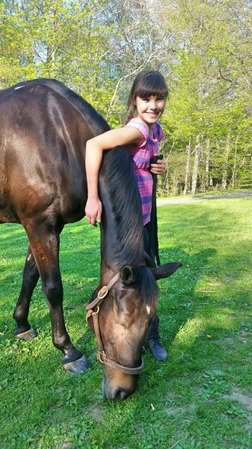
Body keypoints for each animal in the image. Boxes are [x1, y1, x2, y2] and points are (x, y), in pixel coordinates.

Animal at [0, 79, 181, 400]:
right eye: (121, 322)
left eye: (149, 322)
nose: (122, 391)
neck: (57, 134)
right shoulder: (39, 224)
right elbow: (52, 287)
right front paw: (68, 351)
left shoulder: (48, 226)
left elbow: (29, 275)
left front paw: (21, 324)